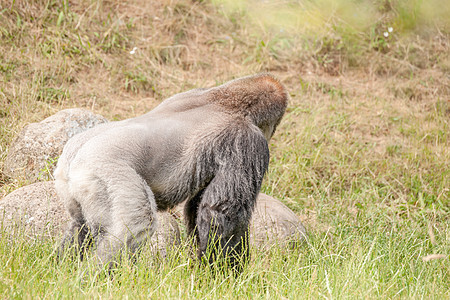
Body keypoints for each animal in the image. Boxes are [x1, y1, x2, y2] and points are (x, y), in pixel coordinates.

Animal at [54, 73, 288, 270]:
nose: (271, 134)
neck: (225, 99)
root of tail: (72, 160)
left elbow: (198, 209)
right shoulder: (247, 141)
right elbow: (220, 213)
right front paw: (224, 274)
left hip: (72, 184)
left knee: (80, 225)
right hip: (101, 171)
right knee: (136, 226)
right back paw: (99, 276)